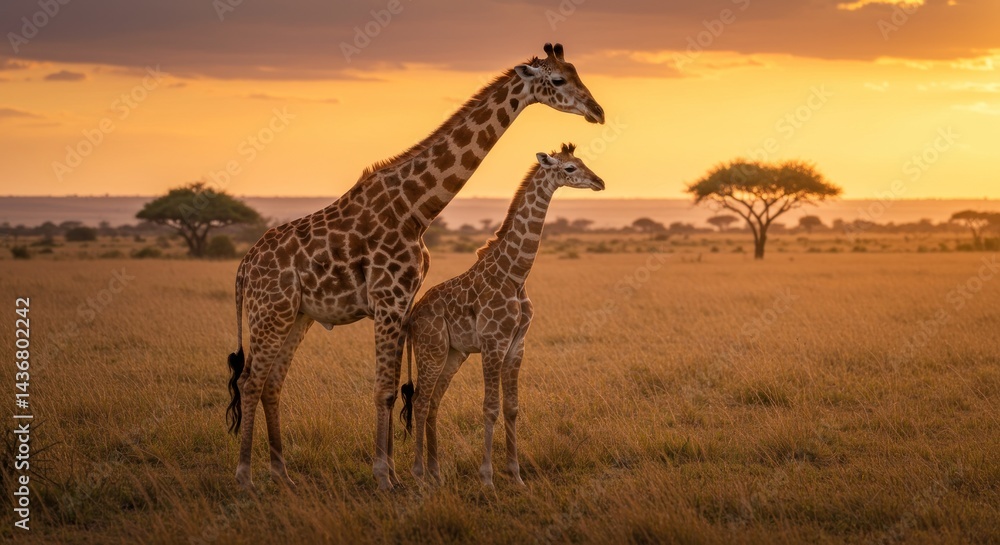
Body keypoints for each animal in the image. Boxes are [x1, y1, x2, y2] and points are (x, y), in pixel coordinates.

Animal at [399, 143, 605, 487]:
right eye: (570, 168)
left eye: (582, 161)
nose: (599, 182)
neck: (515, 274)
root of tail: (411, 318)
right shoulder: (493, 343)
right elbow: (490, 407)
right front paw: (487, 478)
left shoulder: (516, 346)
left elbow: (512, 408)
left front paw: (516, 475)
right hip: (432, 349)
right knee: (421, 401)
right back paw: (419, 475)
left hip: (454, 354)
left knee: (434, 402)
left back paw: (437, 474)